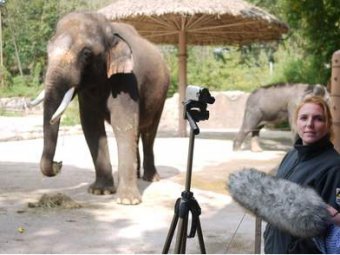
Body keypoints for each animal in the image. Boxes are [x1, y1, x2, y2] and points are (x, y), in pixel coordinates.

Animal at [30, 12, 170, 205]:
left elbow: (123, 123)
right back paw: (137, 176)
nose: (58, 164)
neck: (109, 29)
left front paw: (127, 201)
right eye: (48, 50)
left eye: (86, 53)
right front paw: (100, 192)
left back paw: (151, 178)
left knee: (149, 132)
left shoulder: (127, 79)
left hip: (161, 94)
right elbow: (91, 125)